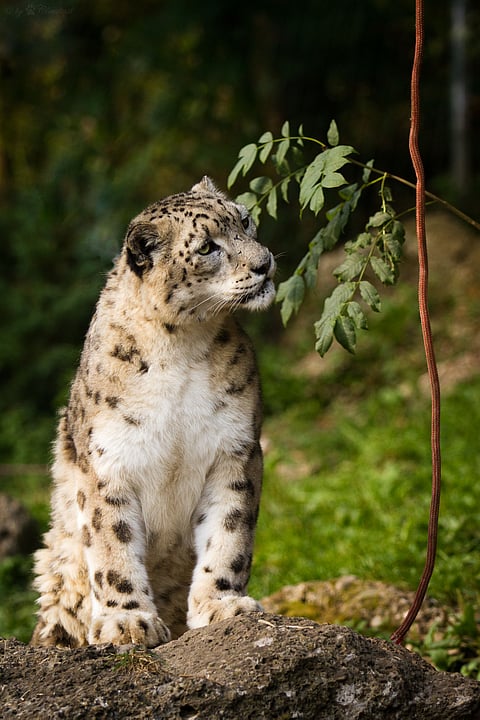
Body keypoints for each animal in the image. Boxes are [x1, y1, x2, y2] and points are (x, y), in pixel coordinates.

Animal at [31, 176, 276, 648]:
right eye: (207, 247)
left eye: (245, 220)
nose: (265, 263)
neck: (180, 347)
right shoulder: (109, 463)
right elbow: (112, 544)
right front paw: (128, 621)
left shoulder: (234, 451)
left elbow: (229, 533)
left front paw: (222, 605)